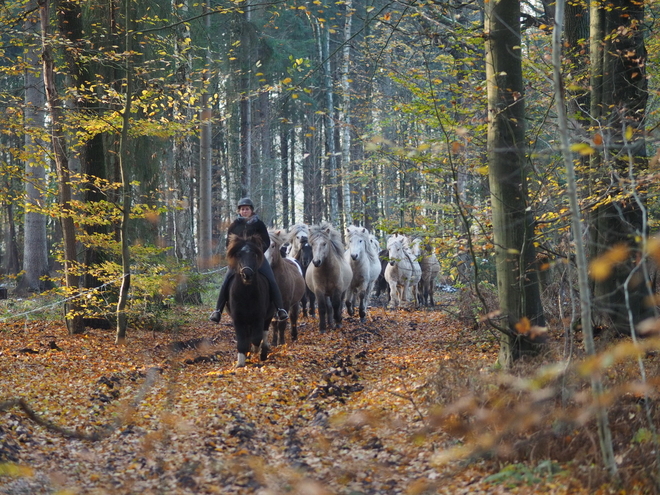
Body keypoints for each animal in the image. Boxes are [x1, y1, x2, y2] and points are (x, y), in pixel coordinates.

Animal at [227, 234, 274, 366]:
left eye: (254, 254)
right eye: (238, 254)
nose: (246, 274)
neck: (246, 295)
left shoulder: (259, 317)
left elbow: (257, 338)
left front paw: (255, 350)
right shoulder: (238, 319)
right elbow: (242, 341)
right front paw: (241, 363)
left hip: (267, 317)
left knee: (264, 334)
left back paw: (263, 352)